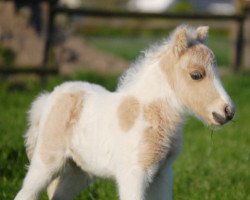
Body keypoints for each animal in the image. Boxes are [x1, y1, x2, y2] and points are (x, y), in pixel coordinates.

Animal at [15, 25, 234, 200]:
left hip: (78, 170)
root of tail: (51, 96)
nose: (228, 111)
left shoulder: (163, 174)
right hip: (47, 160)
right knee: (25, 194)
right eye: (196, 75)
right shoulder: (134, 174)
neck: (148, 114)